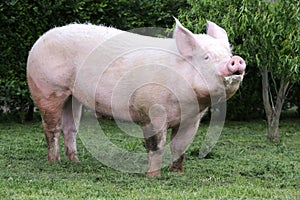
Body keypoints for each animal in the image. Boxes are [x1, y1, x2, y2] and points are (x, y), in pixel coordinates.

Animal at [27, 17, 245, 177]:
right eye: (206, 57)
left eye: (227, 54)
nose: (236, 60)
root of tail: (39, 41)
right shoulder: (151, 109)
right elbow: (157, 145)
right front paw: (153, 176)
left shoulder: (192, 118)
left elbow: (180, 146)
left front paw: (177, 173)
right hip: (47, 89)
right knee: (52, 128)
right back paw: (54, 163)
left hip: (73, 96)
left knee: (70, 128)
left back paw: (75, 161)